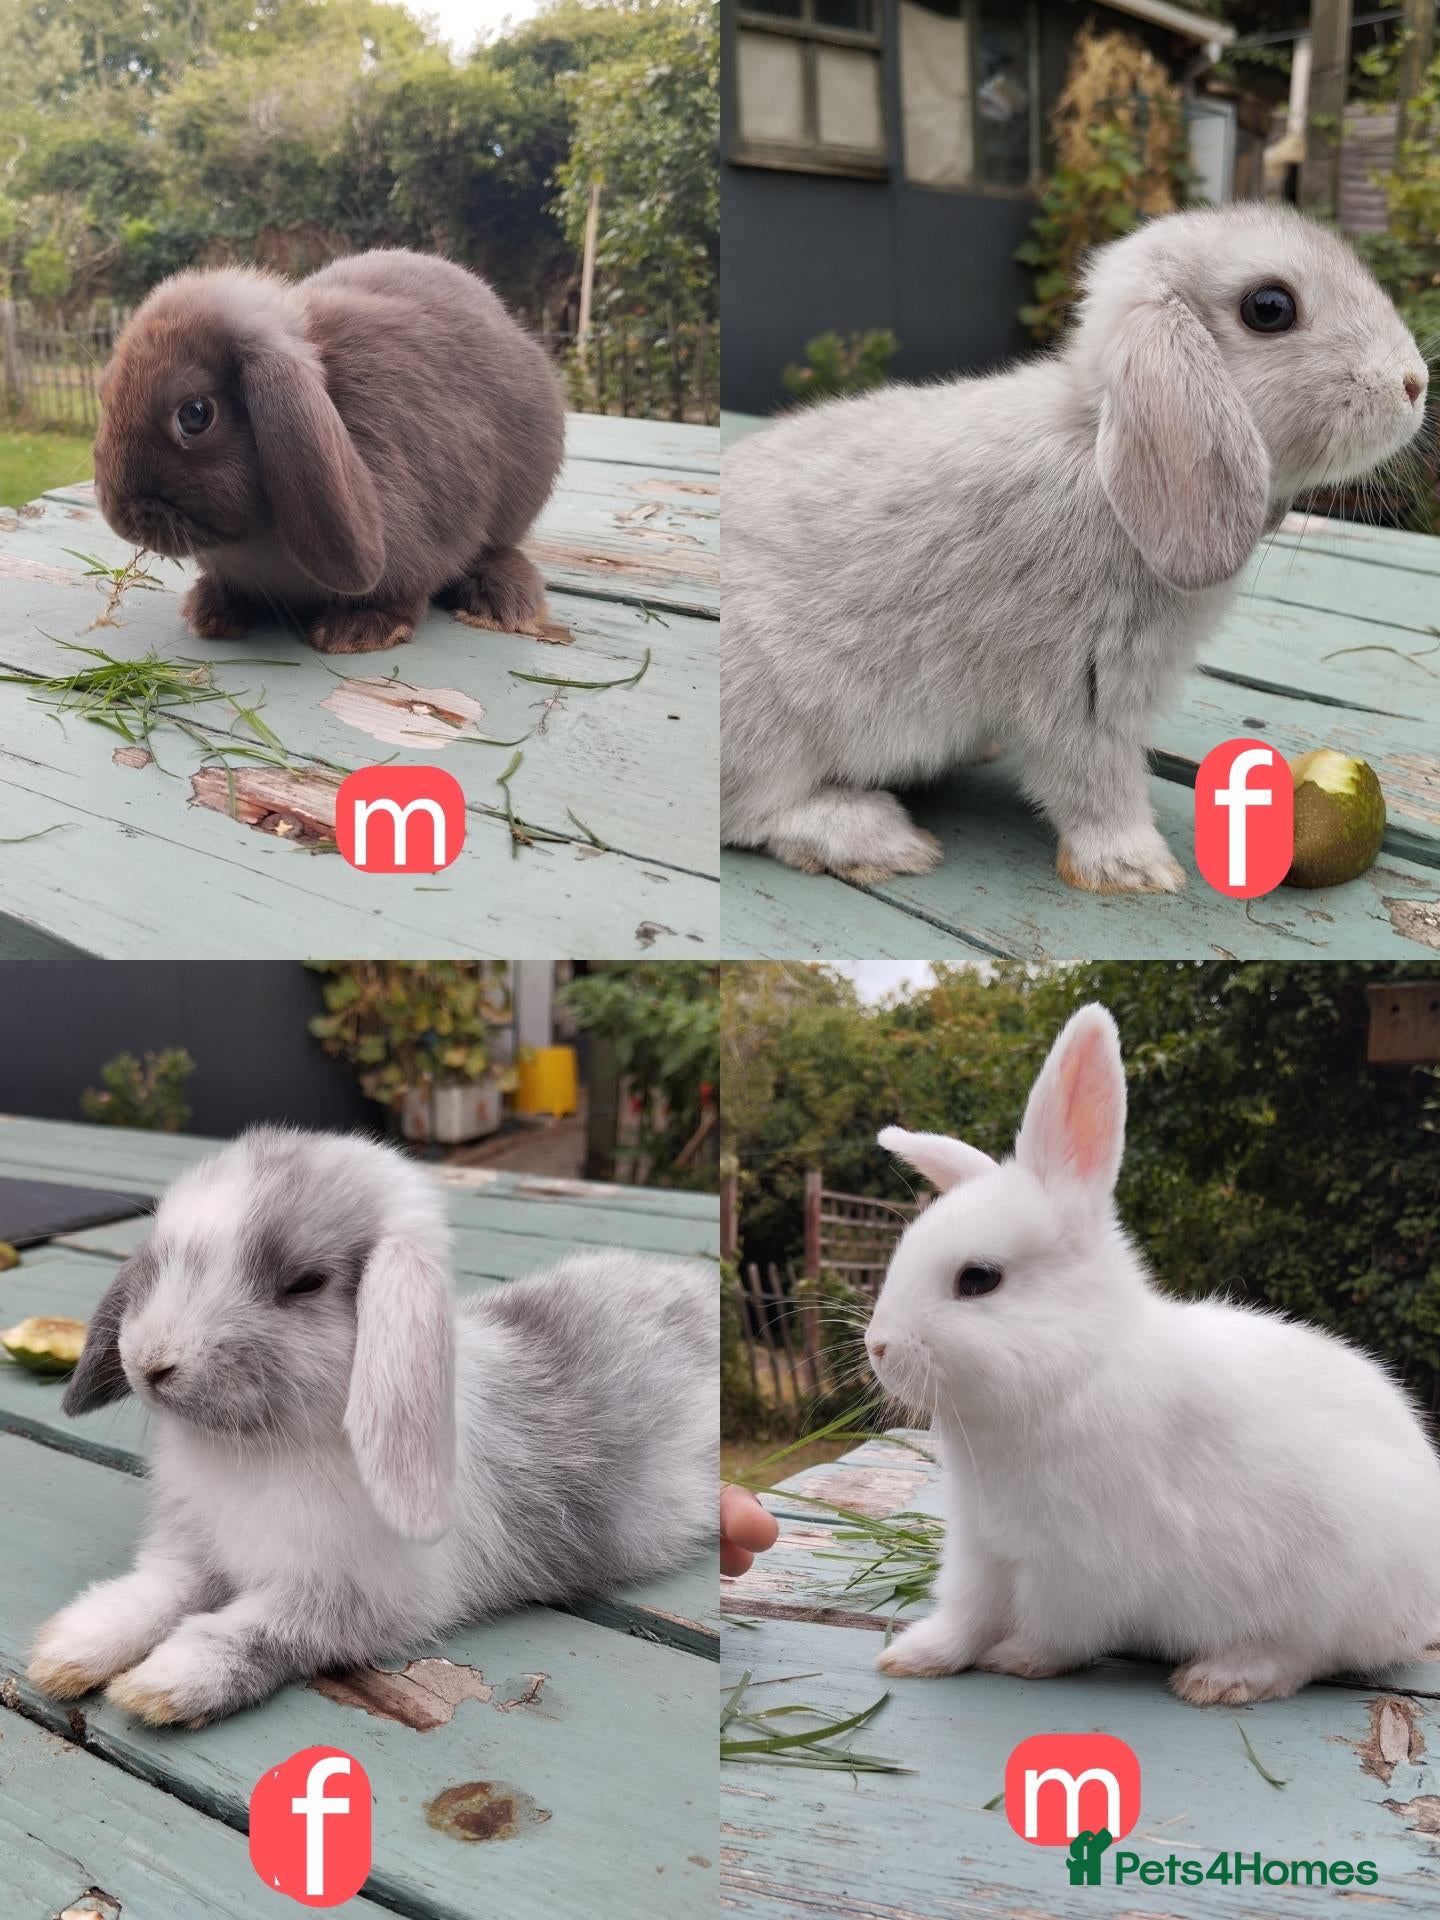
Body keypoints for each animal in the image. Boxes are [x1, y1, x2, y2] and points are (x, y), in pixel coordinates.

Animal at [28, 1126, 716, 1727]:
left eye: (305, 1283)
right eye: (162, 1258)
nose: (151, 1362)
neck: (262, 1451)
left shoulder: (345, 1601)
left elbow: (256, 1631)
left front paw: (164, 1685)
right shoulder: (192, 1556)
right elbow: (155, 1594)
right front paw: (68, 1649)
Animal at [92, 250, 565, 654]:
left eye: (195, 414)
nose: (121, 517)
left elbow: (409, 590)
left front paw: (357, 630)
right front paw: (212, 612)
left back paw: (501, 601)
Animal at [722, 204, 1430, 891]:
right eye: (1270, 307)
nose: (1413, 383)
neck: (1097, 449)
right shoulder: (1084, 685)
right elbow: (1093, 782)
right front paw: (1137, 870)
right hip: (775, 725)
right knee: (754, 812)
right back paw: (880, 839)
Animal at [866, 1003, 1440, 1705]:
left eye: (978, 1278)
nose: (877, 1347)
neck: (1076, 1367)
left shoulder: (1077, 1565)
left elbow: (1056, 1631)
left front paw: (1019, 1659)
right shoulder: (982, 1547)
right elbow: (967, 1613)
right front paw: (914, 1656)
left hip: (1334, 1587)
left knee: (1303, 1656)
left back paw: (1219, 1678)